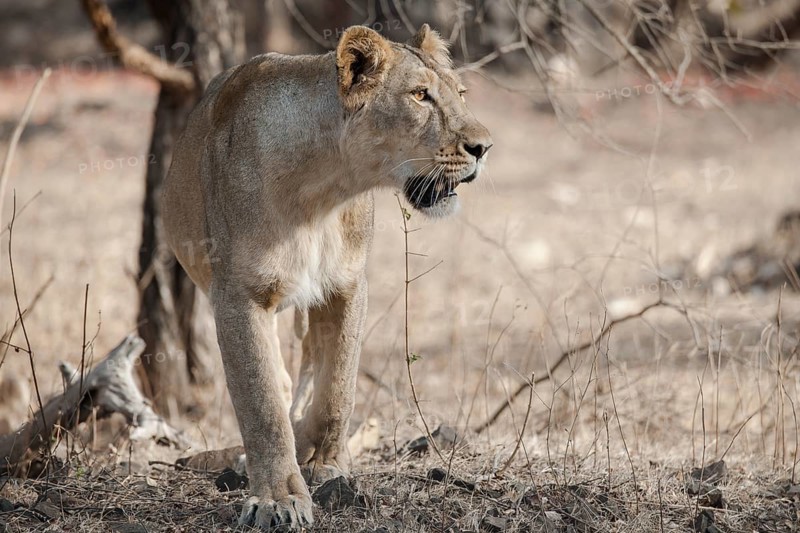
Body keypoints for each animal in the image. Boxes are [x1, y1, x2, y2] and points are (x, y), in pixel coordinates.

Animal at [162, 24, 492, 530]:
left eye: (460, 94)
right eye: (420, 95)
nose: (483, 147)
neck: (321, 191)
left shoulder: (346, 285)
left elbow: (337, 388)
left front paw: (323, 463)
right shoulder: (238, 294)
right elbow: (261, 403)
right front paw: (277, 498)